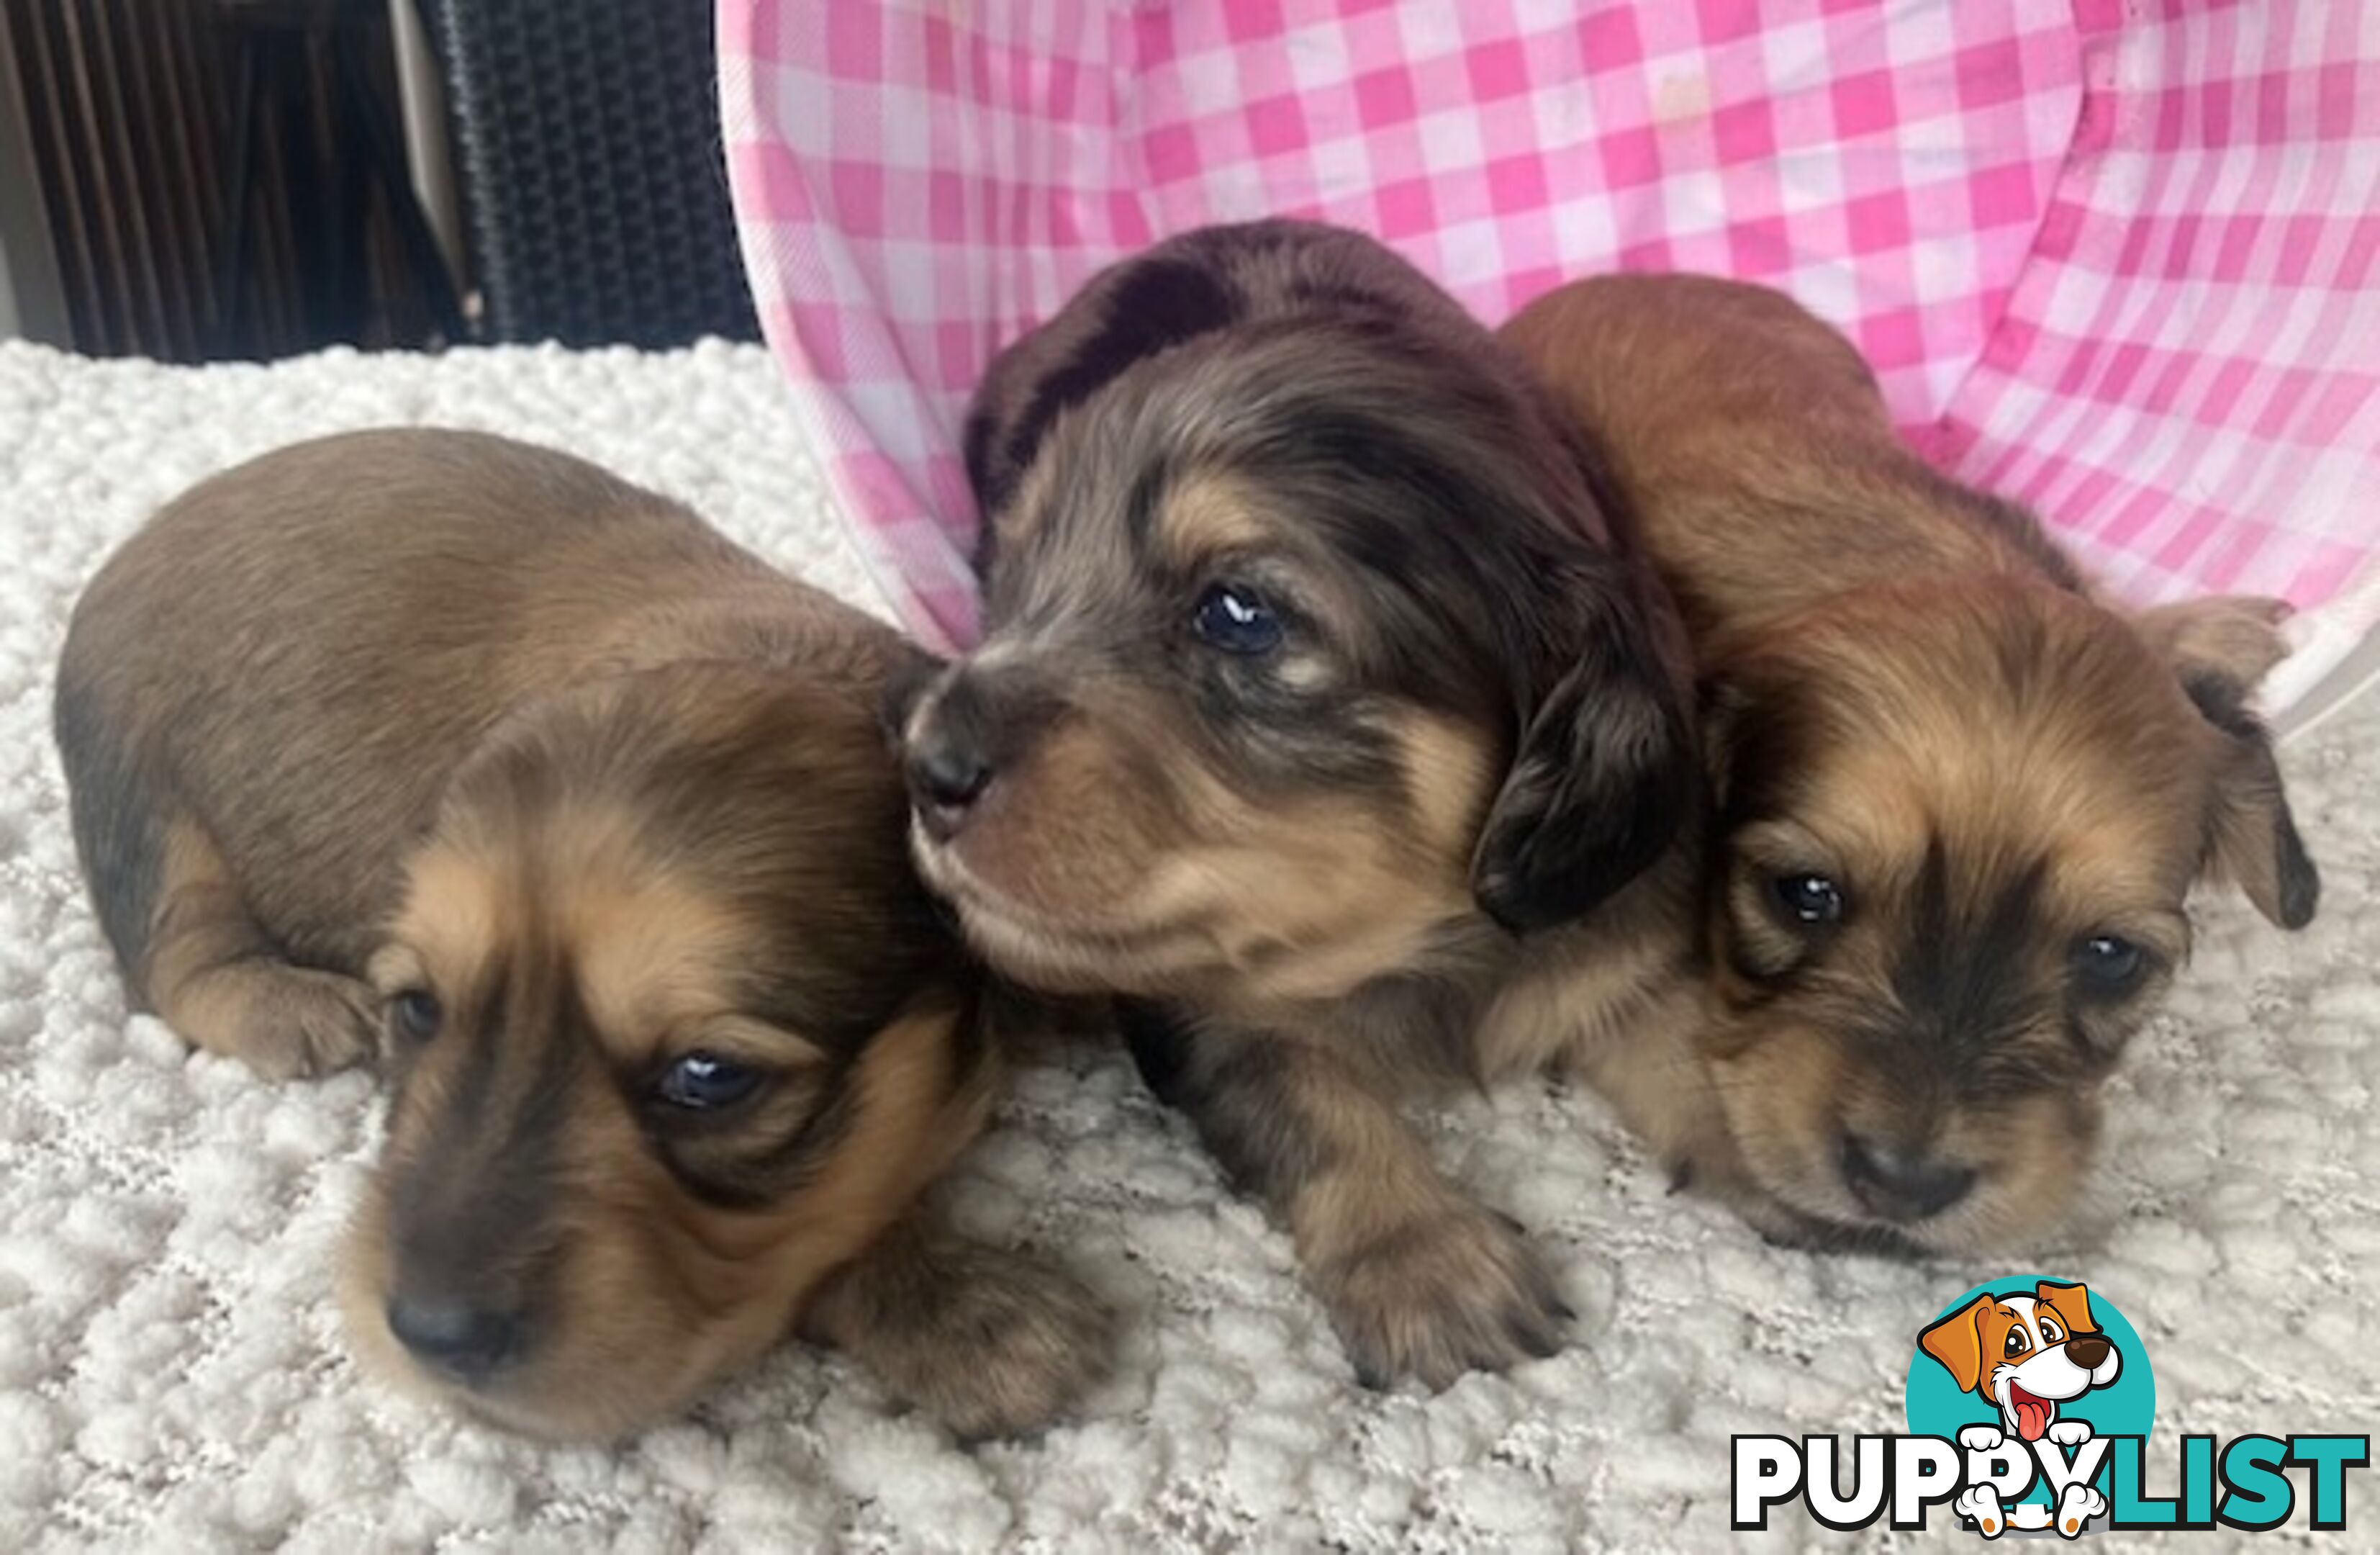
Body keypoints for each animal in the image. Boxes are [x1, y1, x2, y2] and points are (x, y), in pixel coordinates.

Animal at [46, 428, 1104, 1448]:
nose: (429, 1336)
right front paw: (958, 1314)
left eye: (710, 1075)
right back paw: (282, 1003)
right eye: (418, 1010)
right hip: (154, 809)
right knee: (173, 958)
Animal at [895, 217, 1694, 1381]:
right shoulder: (1191, 993)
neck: (1415, 942)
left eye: (1240, 614)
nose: (926, 766)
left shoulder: (1620, 928)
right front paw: (1426, 1262)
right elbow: (1298, 1093)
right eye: (1014, 577)